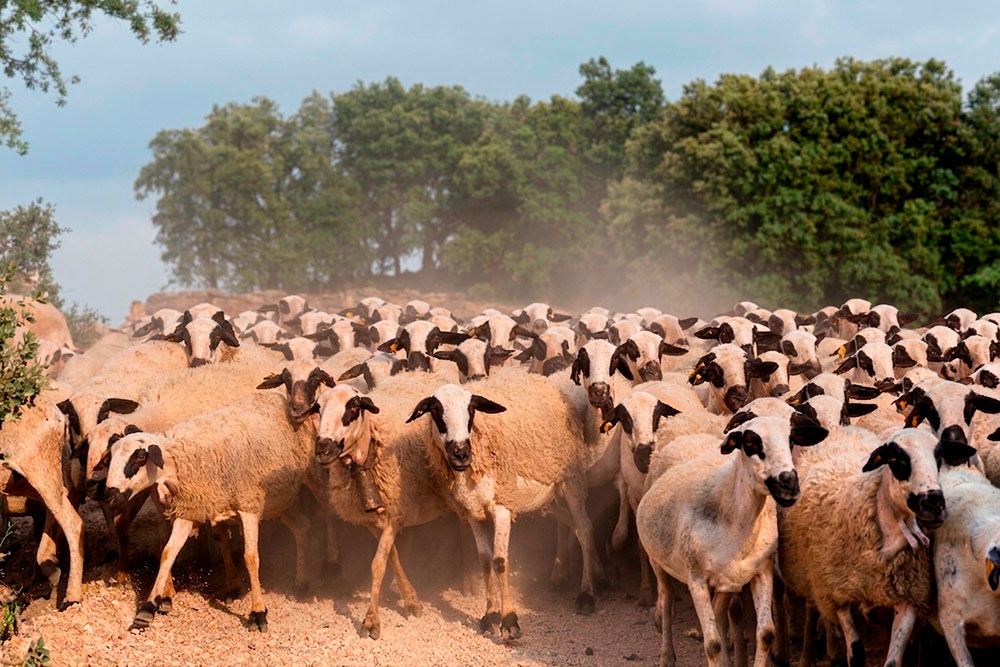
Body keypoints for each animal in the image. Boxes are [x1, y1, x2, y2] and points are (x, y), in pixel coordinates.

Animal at [103, 389, 320, 632]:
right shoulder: (188, 510)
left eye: (140, 457)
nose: (109, 495)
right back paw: (302, 582)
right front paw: (147, 610)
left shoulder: (249, 507)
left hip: (312, 479)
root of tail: (278, 397)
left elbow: (251, 557)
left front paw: (258, 613)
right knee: (302, 527)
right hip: (281, 499)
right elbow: (168, 552)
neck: (180, 462)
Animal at [407, 368, 605, 638]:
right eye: (436, 412)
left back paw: (586, 595)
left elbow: (500, 562)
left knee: (584, 529)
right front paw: (490, 615)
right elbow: (484, 559)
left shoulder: (502, 506)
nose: (461, 454)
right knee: (573, 524)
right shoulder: (471, 510)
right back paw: (594, 574)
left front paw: (510, 621)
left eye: (471, 411)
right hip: (547, 494)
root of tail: (544, 381)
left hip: (570, 478)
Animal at [637, 415, 828, 667]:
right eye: (750, 443)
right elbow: (712, 644)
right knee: (667, 601)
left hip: (726, 580)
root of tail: (689, 437)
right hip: (657, 560)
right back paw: (667, 654)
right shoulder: (696, 580)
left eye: (792, 439)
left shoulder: (762, 571)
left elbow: (766, 634)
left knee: (718, 613)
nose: (789, 484)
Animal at [778, 428, 975, 667]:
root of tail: (844, 430)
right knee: (812, 607)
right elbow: (856, 653)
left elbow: (893, 660)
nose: (934, 503)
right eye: (896, 460)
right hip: (813, 577)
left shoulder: (908, 599)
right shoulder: (840, 596)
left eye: (939, 457)